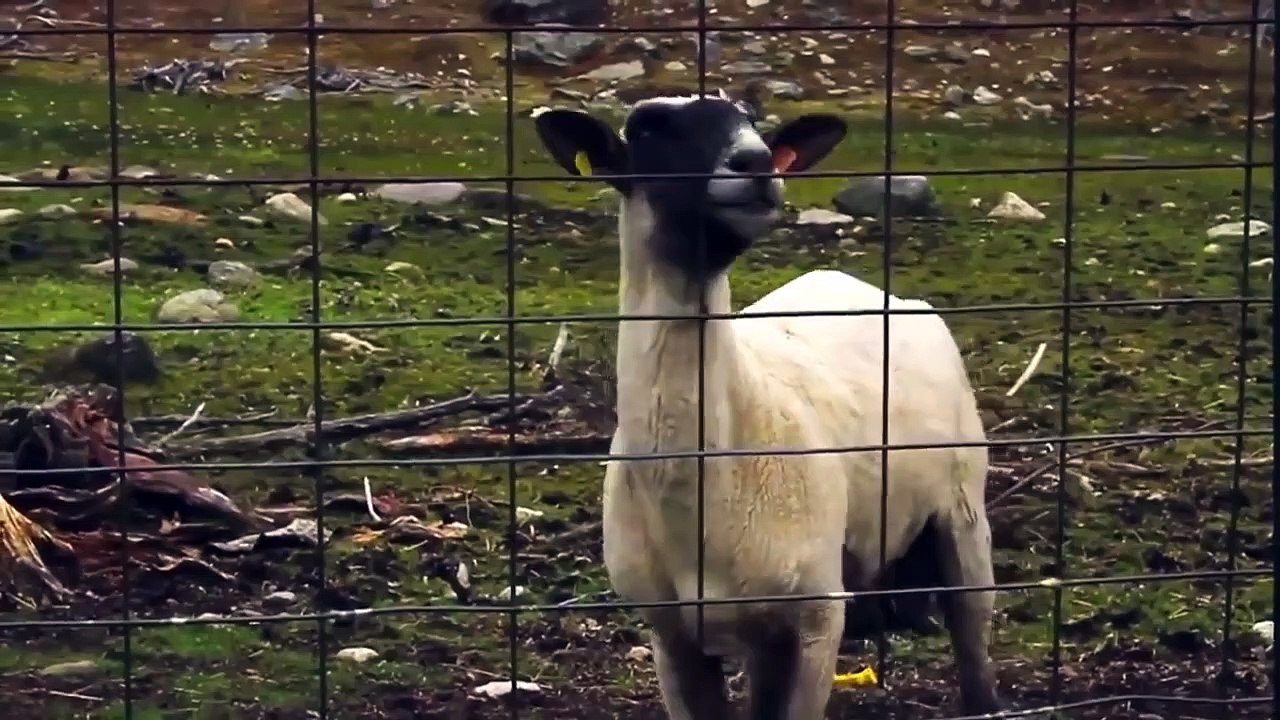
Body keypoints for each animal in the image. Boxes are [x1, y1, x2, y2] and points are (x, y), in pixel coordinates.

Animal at [533, 92, 1003, 720]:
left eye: (752, 123)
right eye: (649, 128)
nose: (756, 163)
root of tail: (860, 285)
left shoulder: (817, 617)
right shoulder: (671, 633)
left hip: (962, 513)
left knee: (973, 642)